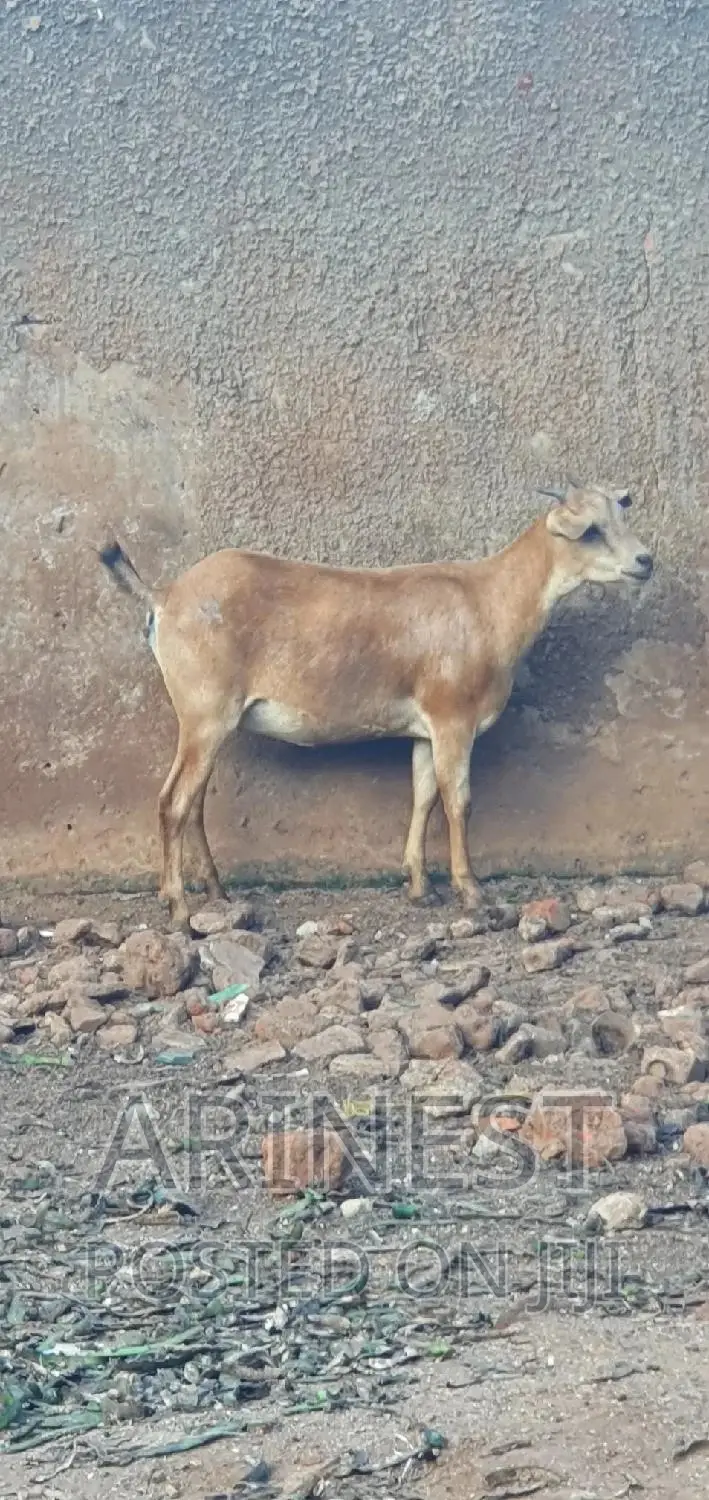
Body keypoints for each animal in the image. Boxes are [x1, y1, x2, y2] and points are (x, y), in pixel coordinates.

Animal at [100, 482, 653, 929]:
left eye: (621, 516)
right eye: (590, 530)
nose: (646, 561)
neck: (487, 602)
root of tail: (164, 595)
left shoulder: (426, 731)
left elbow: (423, 796)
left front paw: (420, 888)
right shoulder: (453, 718)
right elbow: (458, 801)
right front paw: (472, 893)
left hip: (211, 724)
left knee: (192, 804)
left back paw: (218, 893)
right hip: (204, 715)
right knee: (173, 802)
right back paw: (178, 908)